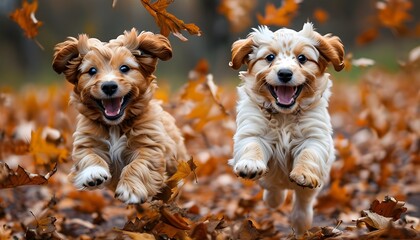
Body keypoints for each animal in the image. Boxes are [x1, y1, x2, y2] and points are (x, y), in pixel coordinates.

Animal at [53, 29, 188, 203]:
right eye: (92, 71)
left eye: (124, 68)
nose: (109, 86)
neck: (115, 125)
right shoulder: (87, 139)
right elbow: (87, 156)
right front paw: (93, 173)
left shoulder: (149, 144)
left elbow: (139, 165)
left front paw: (130, 189)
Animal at [230, 23, 344, 234]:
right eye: (270, 57)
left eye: (302, 58)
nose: (284, 73)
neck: (284, 115)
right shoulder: (252, 130)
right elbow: (252, 146)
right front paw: (250, 164)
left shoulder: (315, 136)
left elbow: (309, 153)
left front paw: (304, 174)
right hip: (270, 181)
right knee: (273, 189)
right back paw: (274, 199)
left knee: (303, 203)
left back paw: (301, 223)